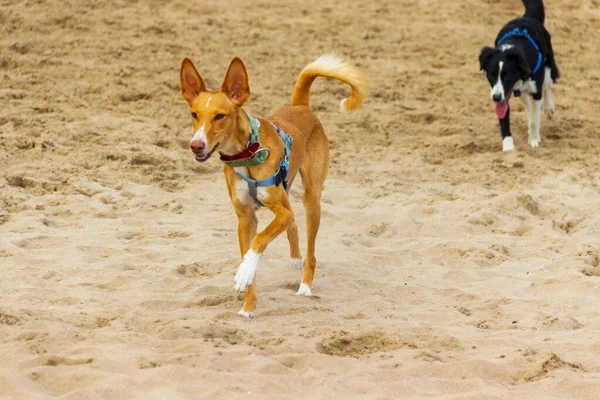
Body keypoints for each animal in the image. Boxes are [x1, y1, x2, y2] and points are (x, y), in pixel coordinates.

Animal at [179, 54, 366, 318]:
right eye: (194, 114)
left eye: (219, 116)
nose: (196, 145)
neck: (248, 153)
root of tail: (300, 107)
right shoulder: (246, 219)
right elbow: (250, 251)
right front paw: (248, 305)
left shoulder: (279, 213)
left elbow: (259, 241)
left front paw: (244, 272)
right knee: (294, 226)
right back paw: (295, 259)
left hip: (311, 200)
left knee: (311, 250)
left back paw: (305, 286)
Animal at [478, 0, 556, 152]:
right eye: (491, 75)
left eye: (507, 75)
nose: (496, 97)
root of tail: (527, 17)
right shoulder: (503, 93)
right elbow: (505, 120)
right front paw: (508, 148)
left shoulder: (535, 90)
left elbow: (535, 119)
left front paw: (533, 140)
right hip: (519, 91)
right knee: (528, 104)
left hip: (549, 69)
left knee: (547, 86)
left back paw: (548, 108)